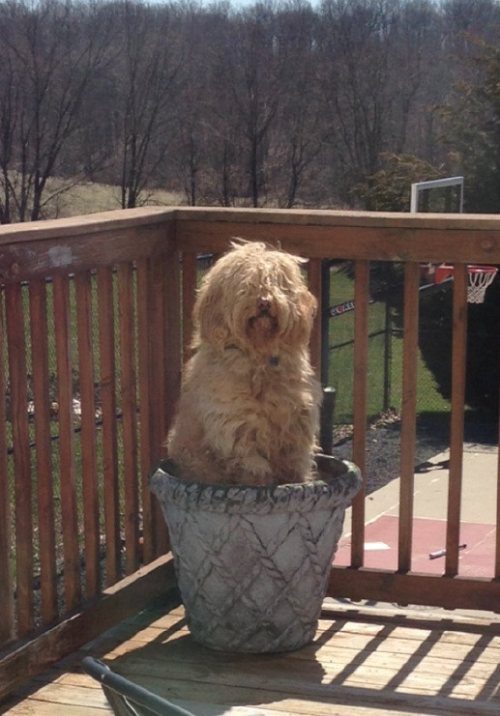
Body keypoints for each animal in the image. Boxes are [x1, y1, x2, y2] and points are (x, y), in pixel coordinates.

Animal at [166, 240, 322, 486]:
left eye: (276, 281)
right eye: (245, 284)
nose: (265, 302)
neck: (259, 358)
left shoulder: (297, 424)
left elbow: (296, 463)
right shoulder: (236, 425)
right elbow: (253, 466)